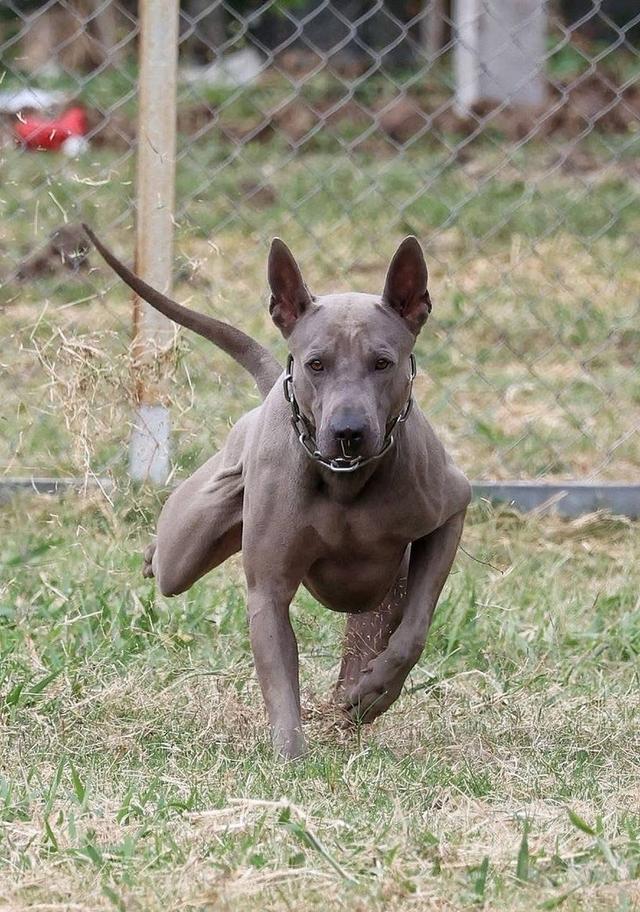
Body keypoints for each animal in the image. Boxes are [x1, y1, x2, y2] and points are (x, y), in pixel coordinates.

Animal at [85, 226, 470, 756]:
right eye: (316, 364)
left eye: (382, 363)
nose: (348, 432)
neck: (345, 478)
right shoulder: (266, 589)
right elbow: (279, 679)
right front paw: (290, 758)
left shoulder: (451, 506)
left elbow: (413, 630)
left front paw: (375, 692)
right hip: (192, 537)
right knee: (172, 559)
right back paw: (151, 553)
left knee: (375, 626)